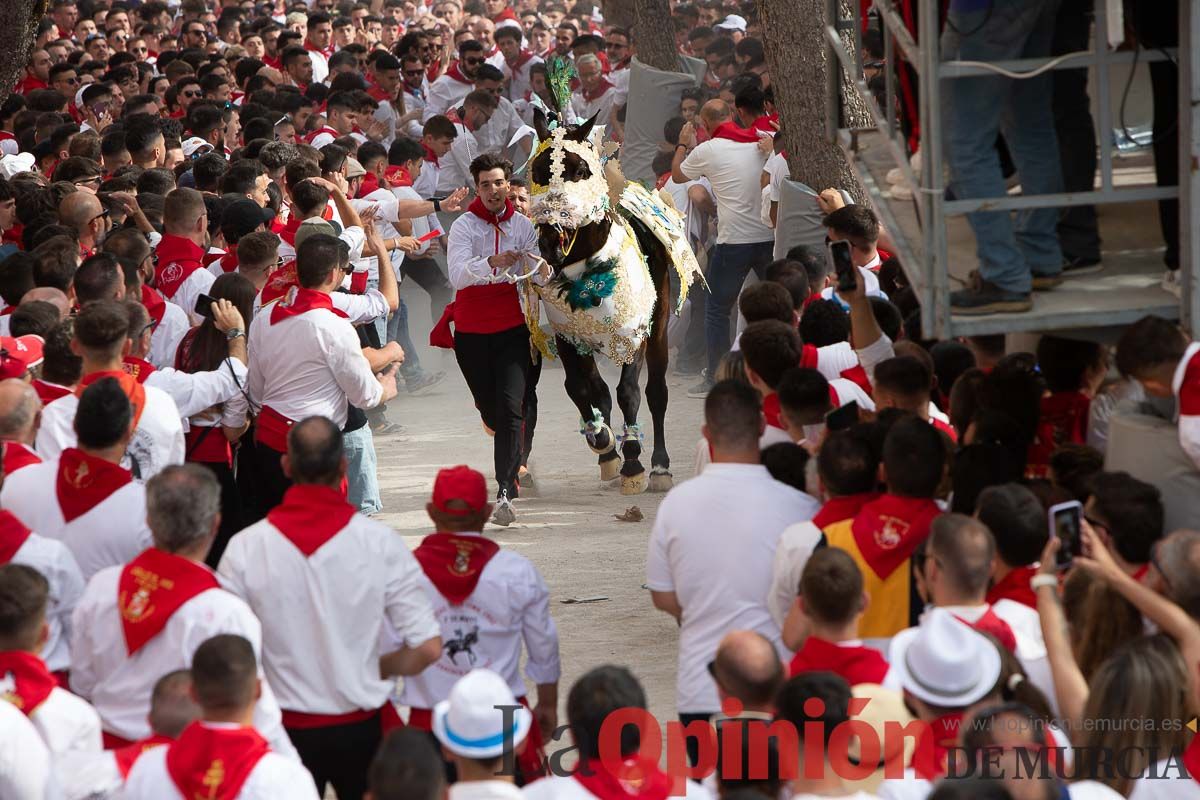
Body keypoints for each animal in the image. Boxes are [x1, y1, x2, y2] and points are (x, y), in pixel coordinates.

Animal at [525, 59, 700, 494]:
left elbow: (629, 392)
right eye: (538, 170)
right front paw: (603, 442)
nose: (551, 236)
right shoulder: (570, 336)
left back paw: (658, 466)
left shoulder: (632, 333)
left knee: (656, 392)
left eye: (578, 170)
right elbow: (581, 388)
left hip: (659, 324)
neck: (587, 272)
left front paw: (635, 460)